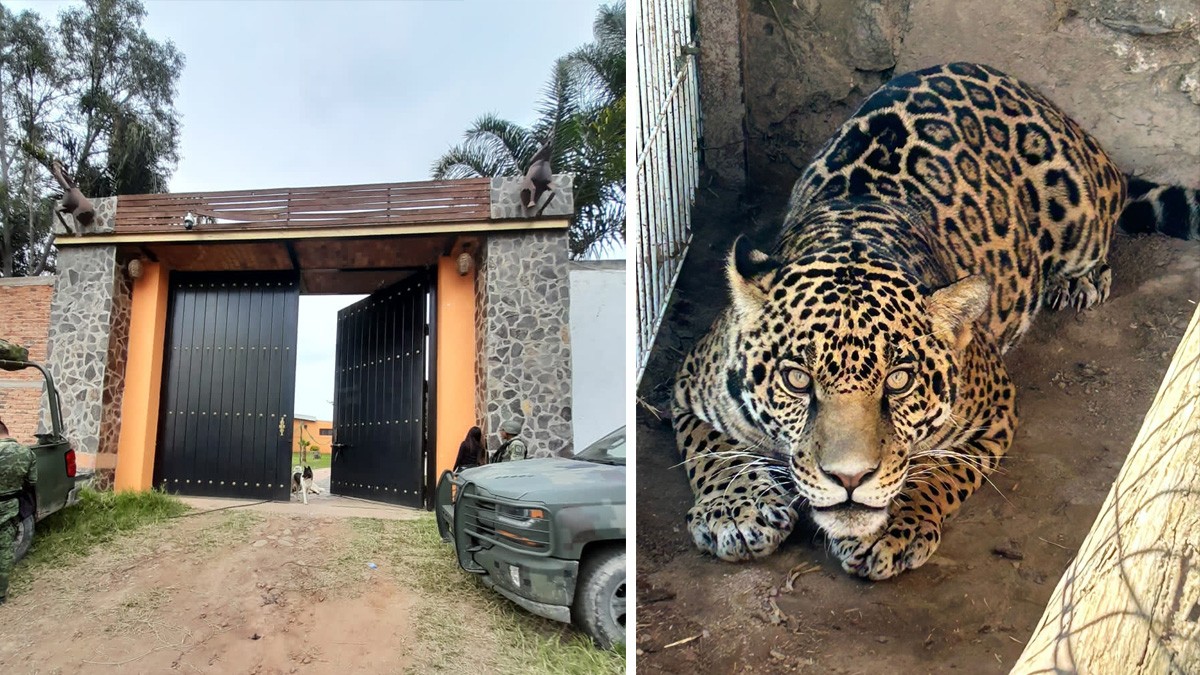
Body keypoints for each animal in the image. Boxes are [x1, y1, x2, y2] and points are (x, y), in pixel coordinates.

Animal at [672, 62, 1199, 581]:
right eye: (797, 380)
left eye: (899, 381)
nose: (848, 478)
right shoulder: (688, 388)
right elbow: (711, 449)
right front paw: (734, 510)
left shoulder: (994, 411)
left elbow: (942, 469)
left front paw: (892, 526)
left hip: (1077, 213)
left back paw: (1077, 282)